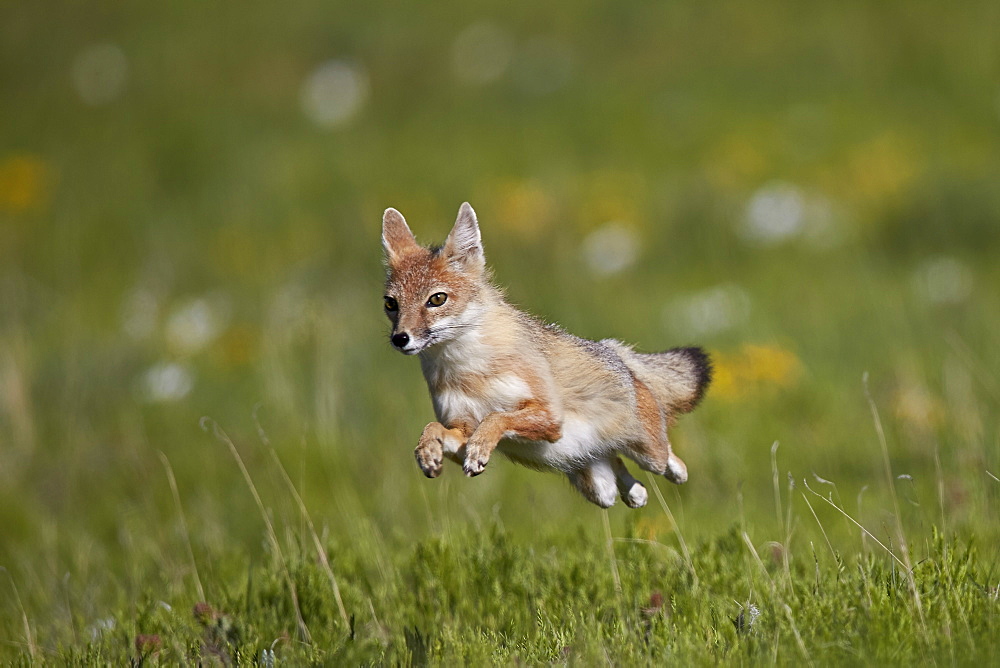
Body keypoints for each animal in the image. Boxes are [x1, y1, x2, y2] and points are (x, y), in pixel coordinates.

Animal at [380, 201, 712, 508]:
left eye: (437, 299)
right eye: (391, 304)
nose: (400, 339)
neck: (469, 372)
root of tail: (617, 354)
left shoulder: (550, 417)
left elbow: (497, 417)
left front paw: (478, 449)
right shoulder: (461, 427)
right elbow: (433, 427)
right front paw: (426, 452)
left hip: (649, 456)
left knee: (671, 463)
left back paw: (669, 474)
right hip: (598, 490)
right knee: (619, 473)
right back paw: (635, 493)